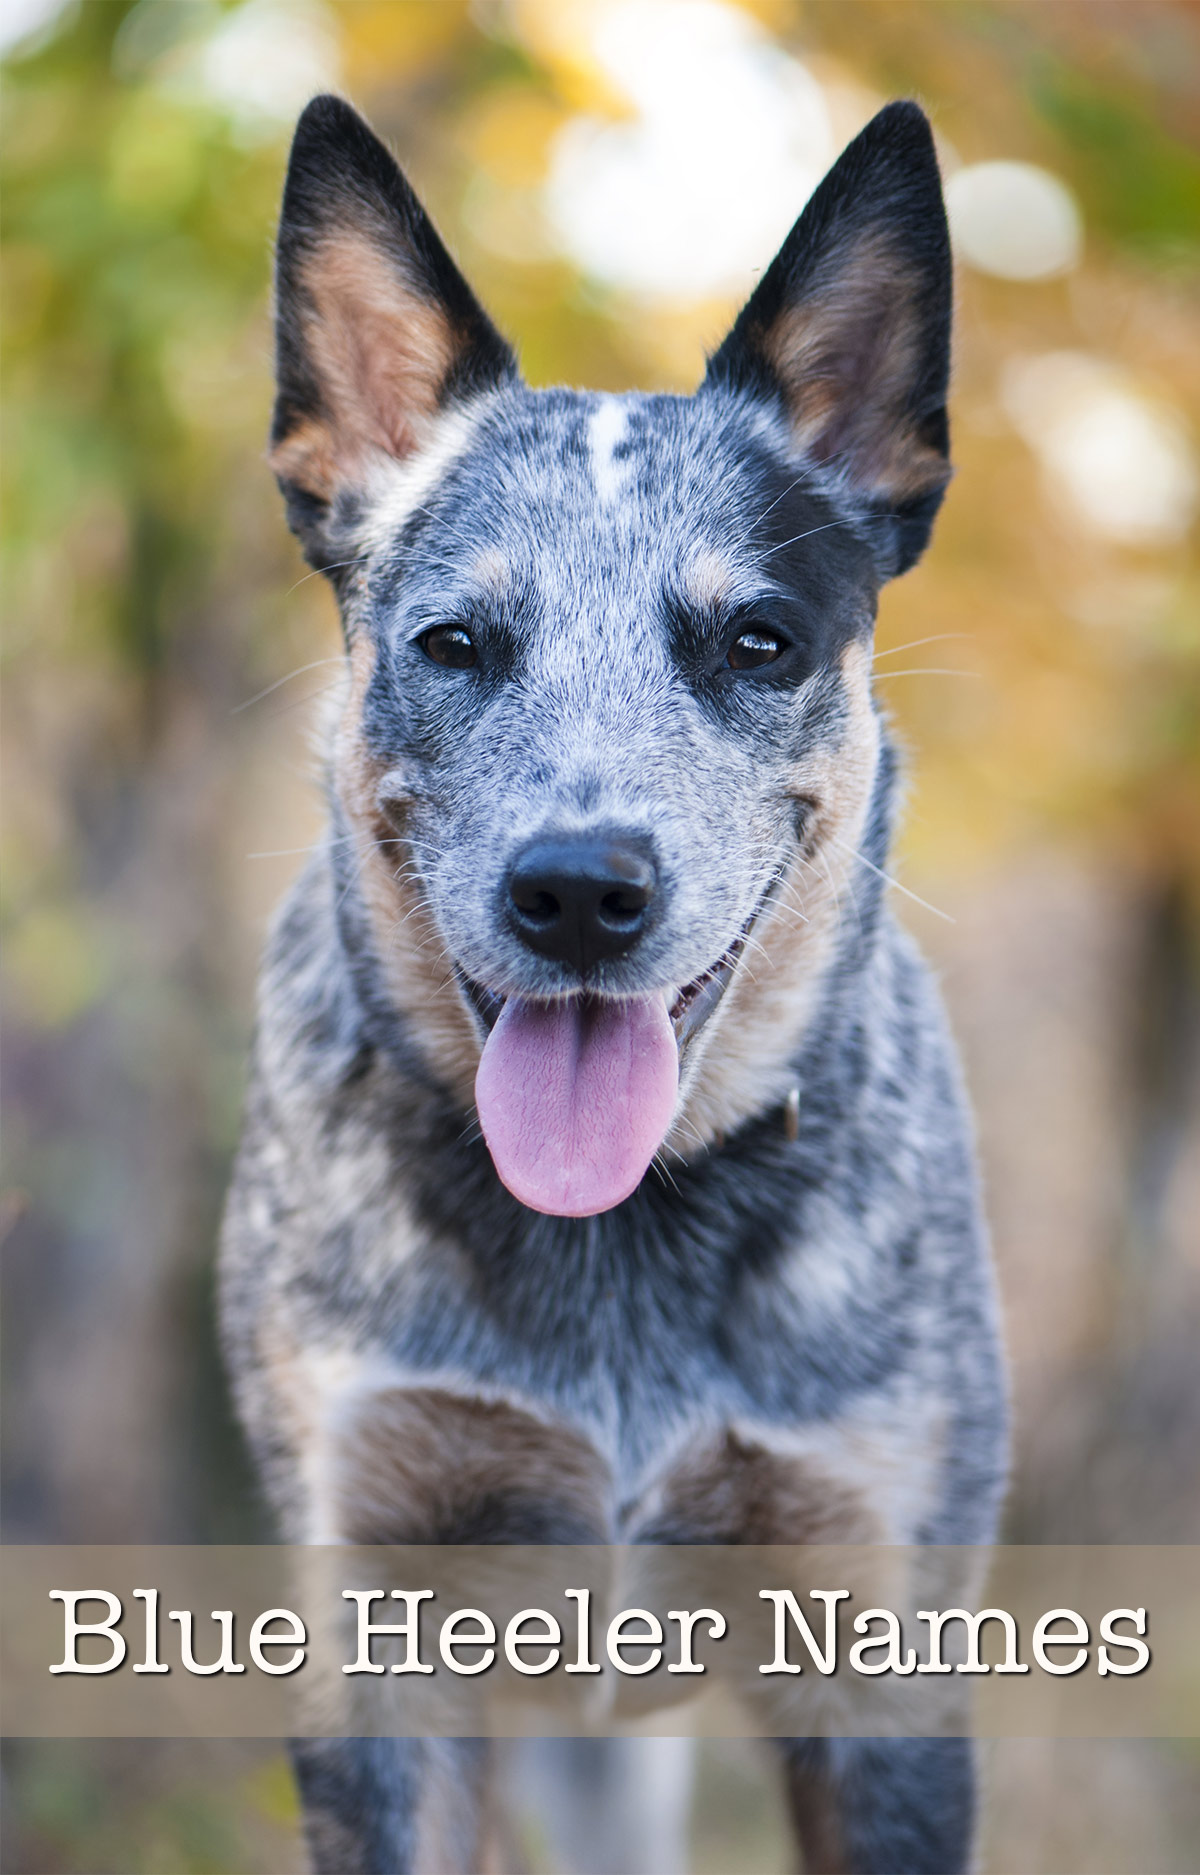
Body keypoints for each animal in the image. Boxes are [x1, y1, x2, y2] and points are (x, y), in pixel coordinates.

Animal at [220, 95, 1005, 1875]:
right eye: (453, 641)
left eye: (759, 639)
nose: (579, 888)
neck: (620, 1240)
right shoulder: (378, 1615)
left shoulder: (882, 1641)